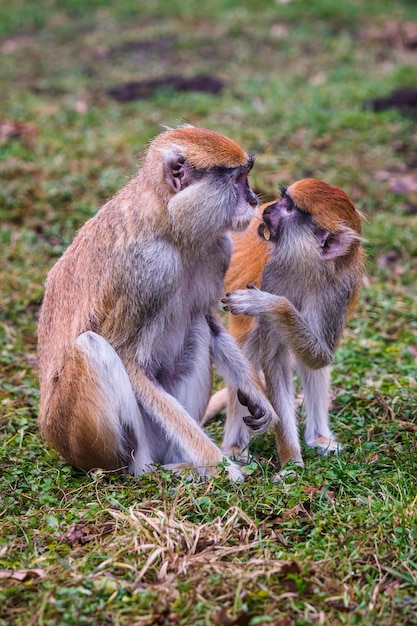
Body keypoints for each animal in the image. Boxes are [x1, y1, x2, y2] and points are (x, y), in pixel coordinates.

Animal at [36, 125, 276, 478]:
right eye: (237, 179)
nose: (253, 200)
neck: (170, 223)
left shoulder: (219, 249)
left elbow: (208, 319)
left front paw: (258, 396)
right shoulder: (147, 268)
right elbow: (126, 356)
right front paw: (222, 468)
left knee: (196, 328)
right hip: (83, 437)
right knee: (91, 346)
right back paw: (151, 471)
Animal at [206, 178, 364, 470]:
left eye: (289, 207)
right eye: (283, 198)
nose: (267, 209)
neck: (305, 264)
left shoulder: (338, 290)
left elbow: (319, 357)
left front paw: (269, 304)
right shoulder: (273, 275)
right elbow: (274, 360)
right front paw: (291, 462)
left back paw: (319, 438)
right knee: (249, 346)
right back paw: (236, 445)